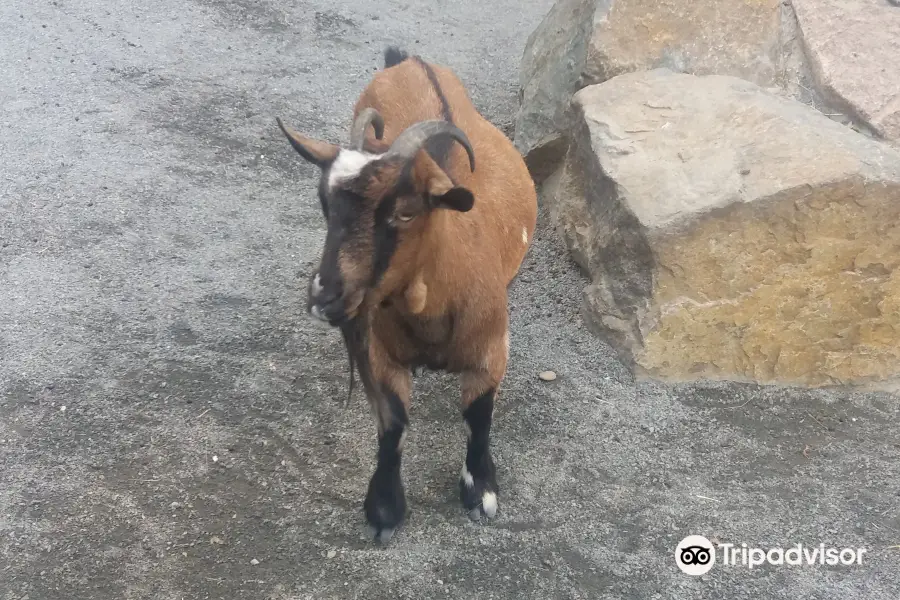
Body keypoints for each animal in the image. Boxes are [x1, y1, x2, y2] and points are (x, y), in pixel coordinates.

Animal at [276, 48, 536, 544]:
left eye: (405, 212)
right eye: (324, 205)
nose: (325, 296)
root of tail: (409, 59)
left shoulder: (492, 349)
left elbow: (479, 417)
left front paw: (481, 491)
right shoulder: (382, 355)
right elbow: (393, 423)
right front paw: (384, 509)